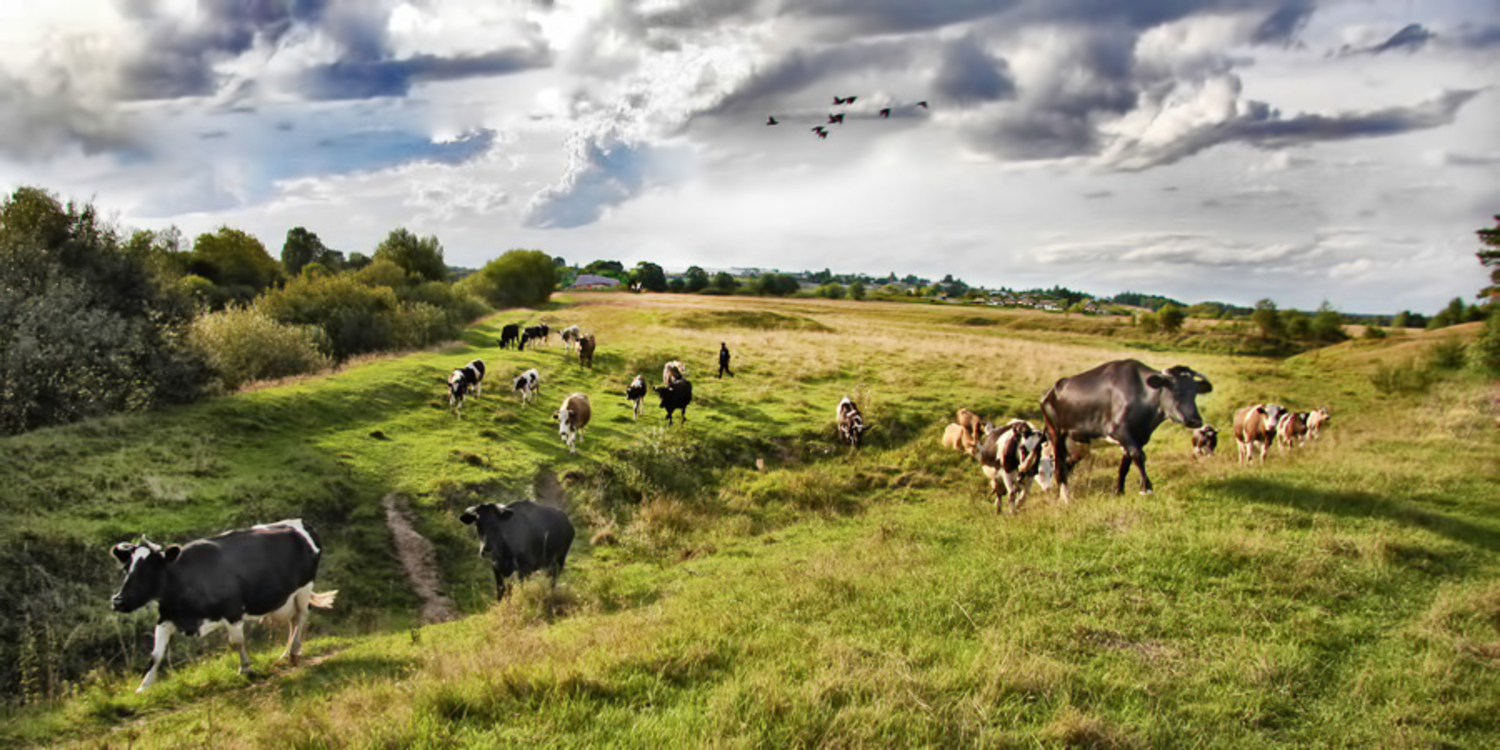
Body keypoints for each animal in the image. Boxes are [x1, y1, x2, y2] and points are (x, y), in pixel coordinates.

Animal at [108, 522, 337, 690]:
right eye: (126, 569)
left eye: (149, 570)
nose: (118, 600)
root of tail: (301, 524)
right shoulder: (166, 617)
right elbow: (155, 655)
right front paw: (144, 686)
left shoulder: (233, 611)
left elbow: (237, 642)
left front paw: (245, 669)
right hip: (285, 598)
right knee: (292, 620)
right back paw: (285, 653)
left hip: (303, 587)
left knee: (301, 616)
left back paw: (294, 651)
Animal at [1044, 360, 1218, 501]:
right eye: (1174, 389)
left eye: (1194, 392)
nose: (1195, 420)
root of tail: (1050, 391)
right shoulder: (1119, 431)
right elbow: (1139, 456)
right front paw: (1146, 489)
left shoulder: (1137, 438)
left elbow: (1124, 467)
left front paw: (1119, 492)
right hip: (1056, 434)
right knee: (1059, 466)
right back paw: (1065, 498)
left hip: (1081, 444)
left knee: (1067, 464)